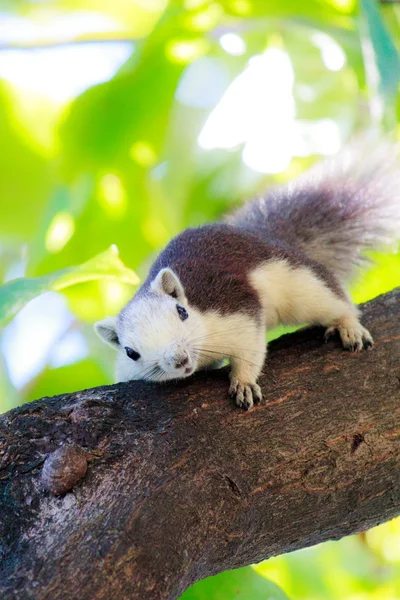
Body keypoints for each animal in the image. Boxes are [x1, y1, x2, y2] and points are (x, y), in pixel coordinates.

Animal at [94, 145, 400, 408]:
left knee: (334, 301)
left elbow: (249, 350)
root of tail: (261, 235)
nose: (179, 359)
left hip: (299, 282)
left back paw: (349, 327)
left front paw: (243, 383)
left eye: (181, 312)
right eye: (131, 352)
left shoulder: (237, 313)